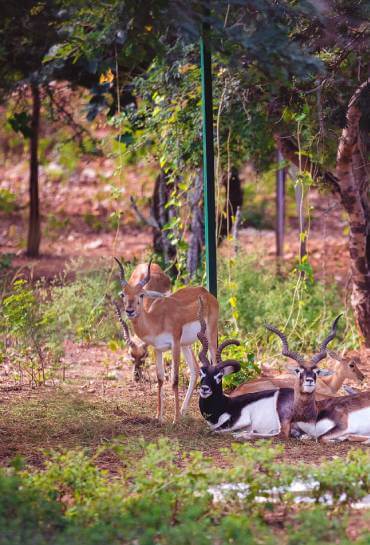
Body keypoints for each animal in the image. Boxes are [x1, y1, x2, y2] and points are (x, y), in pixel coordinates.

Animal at [115, 258, 220, 420]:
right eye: (123, 294)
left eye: (141, 294)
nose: (130, 311)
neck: (157, 319)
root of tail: (206, 293)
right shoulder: (158, 349)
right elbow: (160, 379)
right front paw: (159, 417)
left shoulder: (174, 345)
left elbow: (174, 380)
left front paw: (175, 419)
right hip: (186, 344)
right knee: (195, 369)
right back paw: (183, 411)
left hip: (210, 335)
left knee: (215, 364)